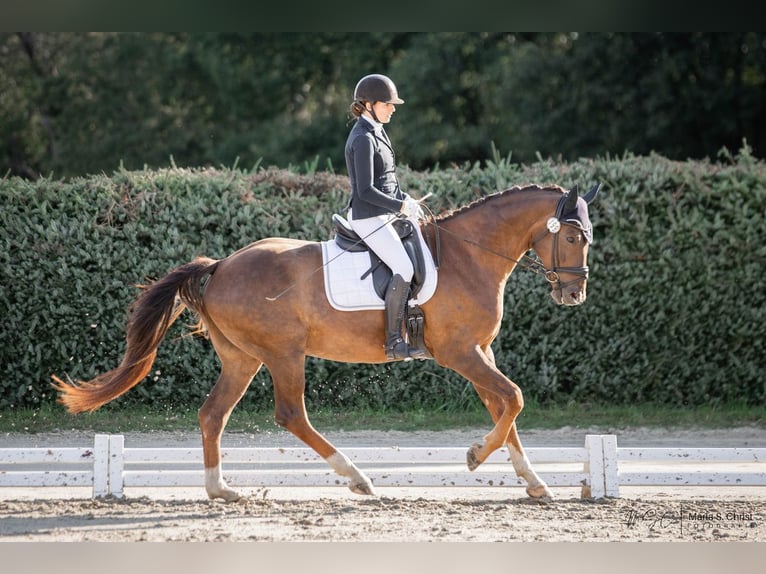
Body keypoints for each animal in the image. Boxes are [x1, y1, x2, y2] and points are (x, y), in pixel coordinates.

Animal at [57, 182, 604, 502]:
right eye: (574, 237)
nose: (574, 294)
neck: (469, 257)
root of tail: (221, 265)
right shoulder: (459, 352)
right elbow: (514, 397)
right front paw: (473, 457)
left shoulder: (480, 351)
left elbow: (503, 407)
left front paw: (534, 483)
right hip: (283, 354)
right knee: (289, 415)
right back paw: (357, 477)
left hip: (242, 358)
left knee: (213, 414)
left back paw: (221, 490)